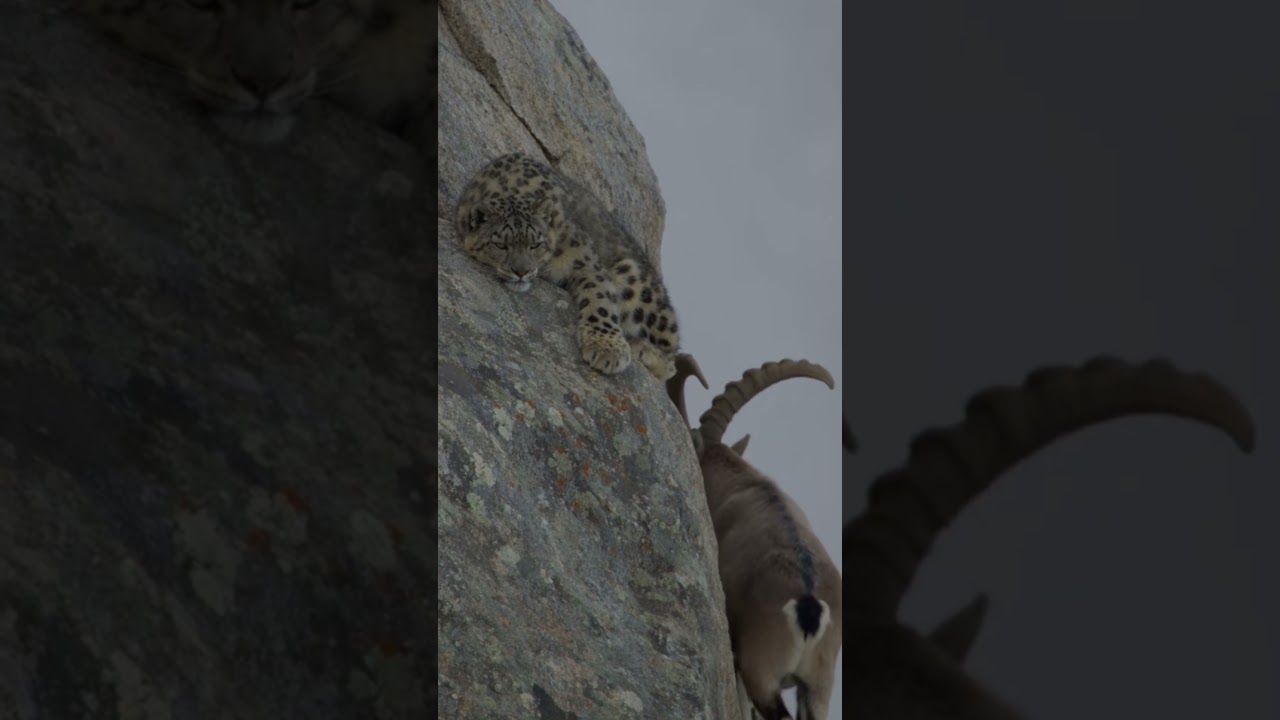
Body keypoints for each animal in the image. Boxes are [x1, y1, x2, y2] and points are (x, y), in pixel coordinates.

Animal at [454, 153, 681, 381]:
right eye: (501, 244)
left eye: (535, 244)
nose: (521, 271)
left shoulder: (585, 264)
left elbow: (600, 302)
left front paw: (607, 349)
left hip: (636, 283)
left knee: (671, 361)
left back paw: (641, 348)